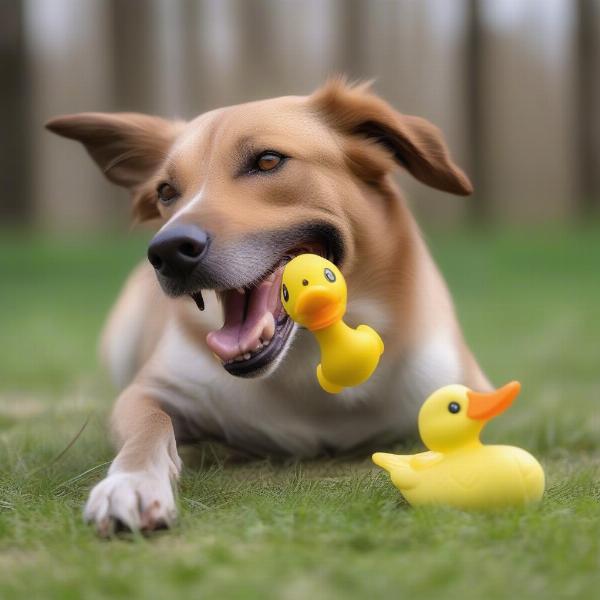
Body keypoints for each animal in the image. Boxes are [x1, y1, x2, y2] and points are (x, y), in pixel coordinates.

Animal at [45, 79, 488, 536]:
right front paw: (131, 482)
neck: (311, 360)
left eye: (268, 160)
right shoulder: (148, 391)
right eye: (165, 191)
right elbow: (150, 425)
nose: (166, 252)